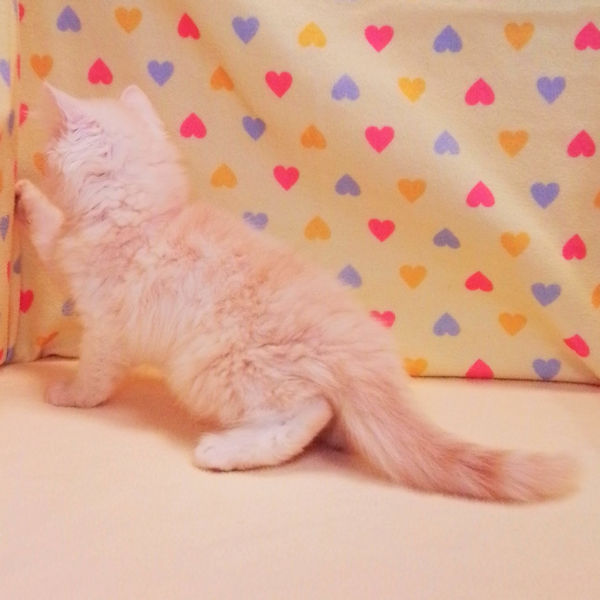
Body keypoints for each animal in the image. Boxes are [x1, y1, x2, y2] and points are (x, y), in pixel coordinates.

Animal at [15, 83, 577, 501]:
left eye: (46, 153)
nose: (34, 160)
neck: (149, 214)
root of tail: (361, 349)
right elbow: (51, 233)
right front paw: (25, 196)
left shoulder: (104, 325)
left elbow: (92, 375)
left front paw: (68, 394)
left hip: (211, 368)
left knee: (307, 412)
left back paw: (222, 452)